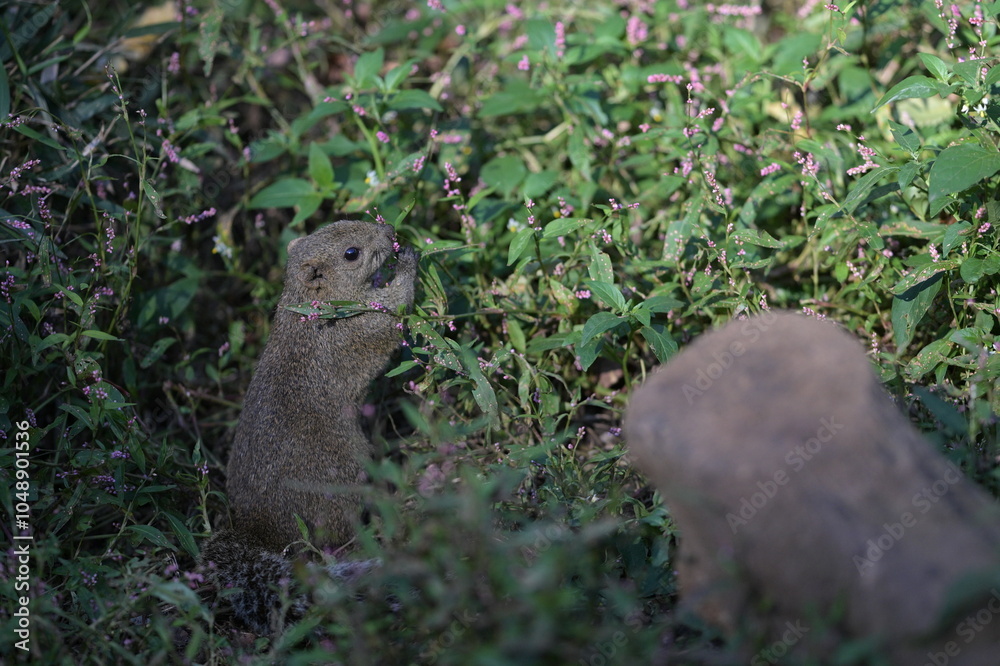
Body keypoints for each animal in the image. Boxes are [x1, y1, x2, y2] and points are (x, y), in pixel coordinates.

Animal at [200, 220, 417, 634]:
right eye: (351, 253)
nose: (389, 231)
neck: (310, 308)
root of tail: (256, 530)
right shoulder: (357, 331)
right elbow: (391, 312)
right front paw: (408, 265)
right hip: (340, 487)